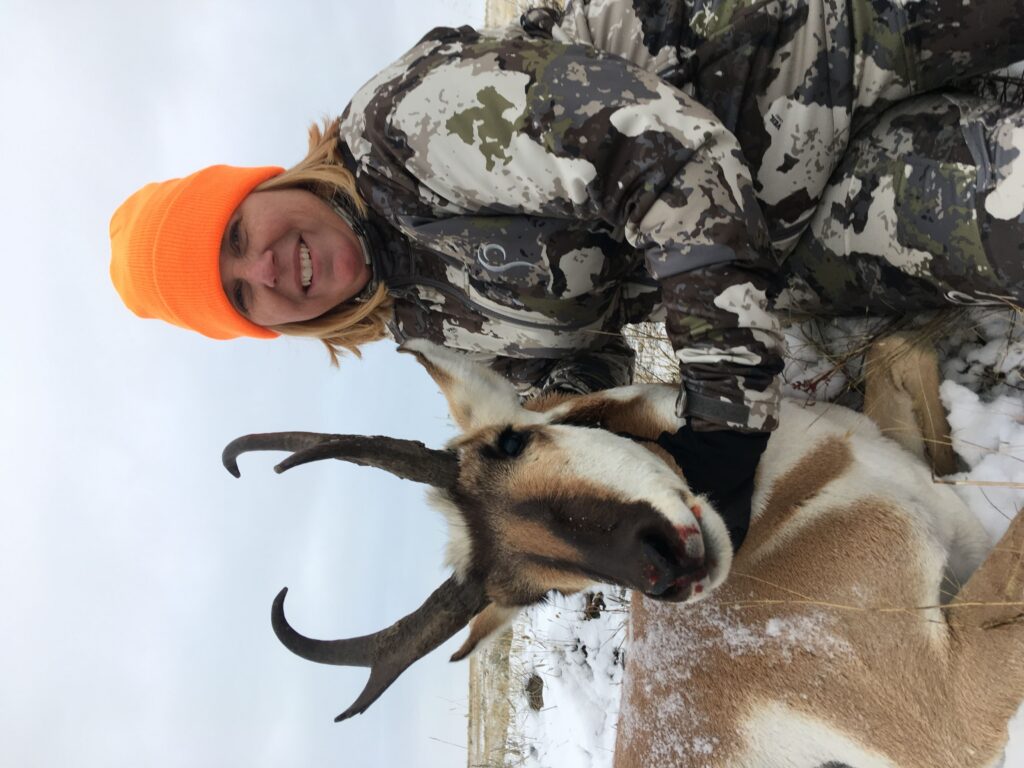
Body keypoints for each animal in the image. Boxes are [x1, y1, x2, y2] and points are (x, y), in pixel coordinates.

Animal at [224, 339, 1024, 766]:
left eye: (511, 442)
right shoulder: (953, 714)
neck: (776, 517)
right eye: (546, 590)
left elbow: (902, 351)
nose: (663, 570)